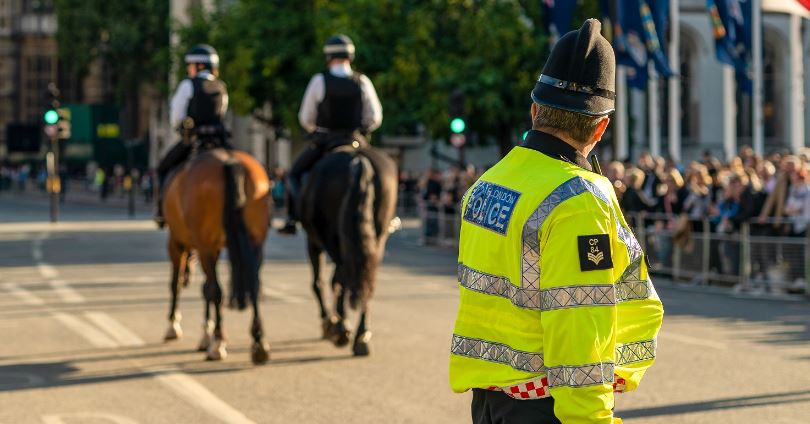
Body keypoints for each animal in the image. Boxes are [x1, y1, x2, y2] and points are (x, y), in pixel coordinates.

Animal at [161, 149, 272, 364]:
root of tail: (229, 160)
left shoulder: (177, 242)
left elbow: (177, 284)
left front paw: (174, 325)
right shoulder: (212, 247)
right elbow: (205, 288)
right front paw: (206, 333)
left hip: (201, 244)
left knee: (216, 290)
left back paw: (219, 342)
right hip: (256, 241)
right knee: (253, 284)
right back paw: (259, 342)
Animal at [298, 144, 396, 356]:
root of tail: (358, 159)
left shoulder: (314, 242)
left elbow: (319, 282)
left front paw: (330, 322)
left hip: (331, 237)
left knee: (342, 277)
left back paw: (341, 328)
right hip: (378, 235)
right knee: (366, 276)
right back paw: (361, 335)